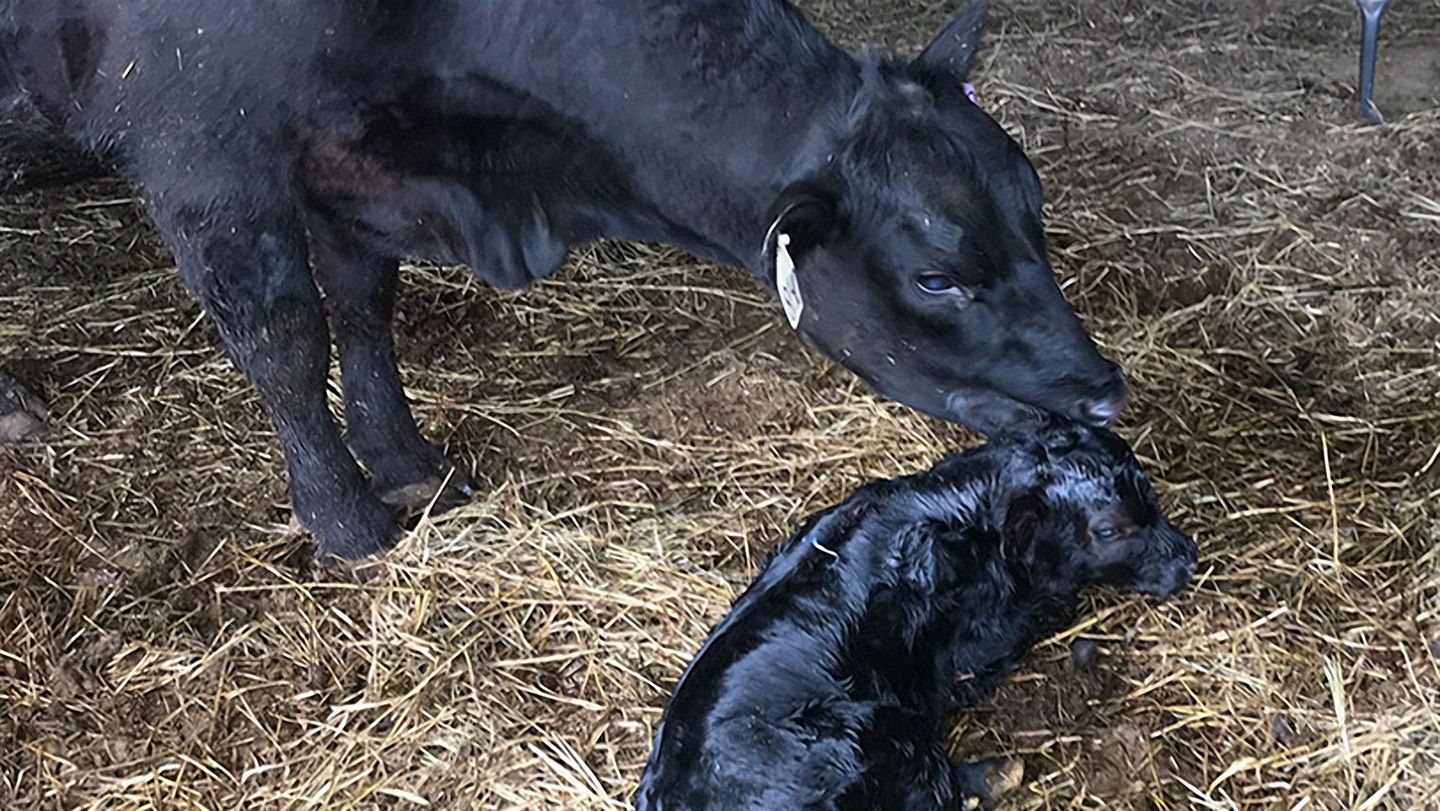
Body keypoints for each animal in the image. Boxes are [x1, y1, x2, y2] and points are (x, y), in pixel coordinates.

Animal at [0, 1, 1126, 562]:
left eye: (1034, 211)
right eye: (936, 279)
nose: (1102, 391)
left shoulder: (350, 158)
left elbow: (364, 304)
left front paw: (402, 457)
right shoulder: (207, 157)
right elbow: (285, 340)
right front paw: (344, 517)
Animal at [635, 417, 1198, 810]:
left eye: (1151, 495)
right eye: (1109, 530)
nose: (1187, 560)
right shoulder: (978, 645)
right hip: (864, 731)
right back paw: (1003, 770)